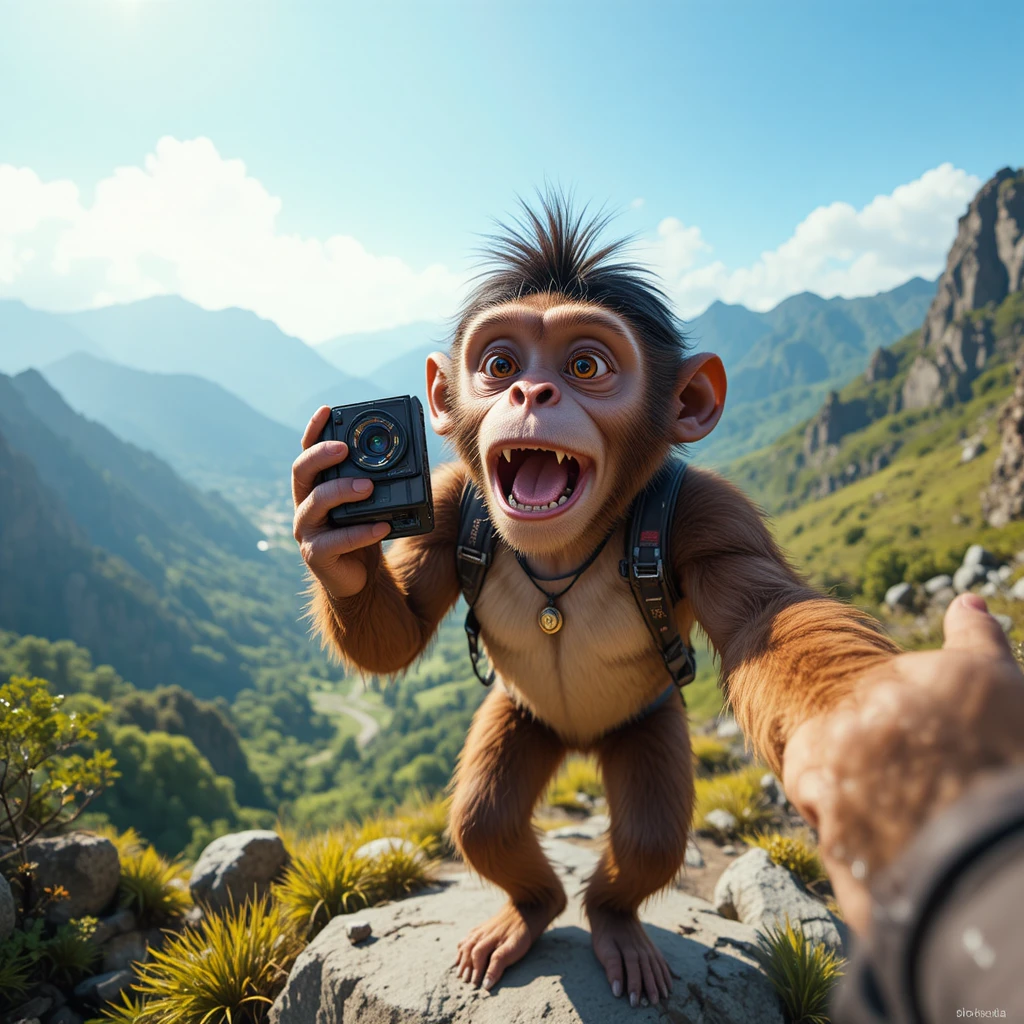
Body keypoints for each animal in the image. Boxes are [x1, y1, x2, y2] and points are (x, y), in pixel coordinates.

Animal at [291, 194, 899, 1009]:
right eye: (499, 366)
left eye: (585, 366)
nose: (530, 392)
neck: (565, 553)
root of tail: (578, 741)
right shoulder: (450, 505)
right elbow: (403, 631)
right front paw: (339, 543)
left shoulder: (714, 517)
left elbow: (767, 621)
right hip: (524, 719)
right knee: (483, 821)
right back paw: (529, 909)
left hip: (645, 726)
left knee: (648, 837)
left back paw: (613, 922)